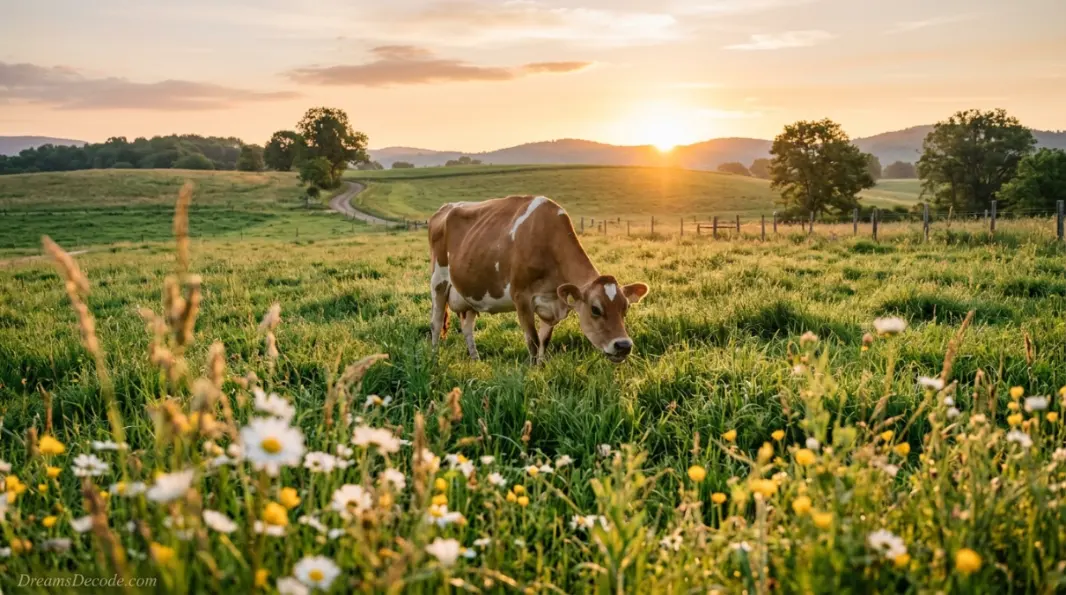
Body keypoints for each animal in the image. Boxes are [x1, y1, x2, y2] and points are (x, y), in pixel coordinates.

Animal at [428, 195, 650, 364]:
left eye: (625, 308)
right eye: (595, 309)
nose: (623, 345)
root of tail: (445, 208)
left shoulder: (552, 304)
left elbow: (545, 340)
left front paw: (541, 368)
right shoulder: (521, 297)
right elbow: (533, 342)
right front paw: (532, 372)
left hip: (469, 293)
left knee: (467, 327)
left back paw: (476, 360)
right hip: (438, 281)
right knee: (436, 322)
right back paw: (434, 357)